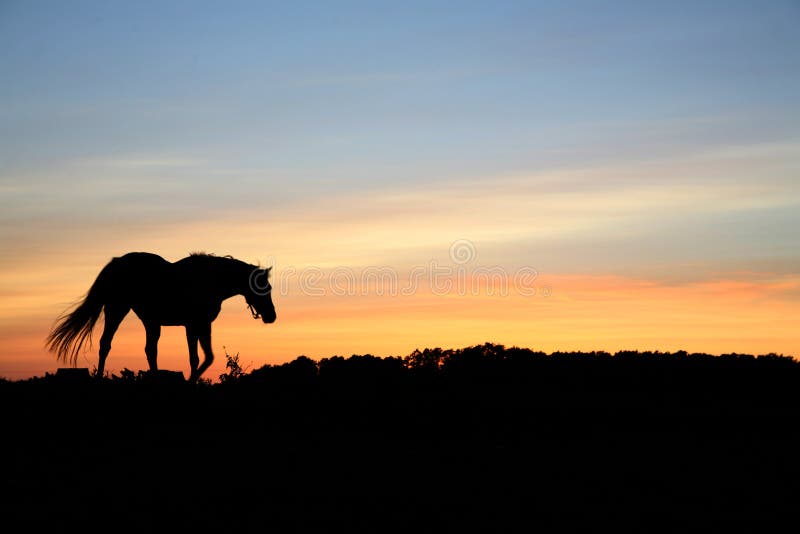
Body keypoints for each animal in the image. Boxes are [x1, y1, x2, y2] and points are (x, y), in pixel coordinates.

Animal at [46, 252, 276, 382]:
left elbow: (202, 357)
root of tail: (116, 262)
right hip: (117, 309)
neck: (211, 280)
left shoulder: (198, 325)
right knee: (106, 344)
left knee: (148, 350)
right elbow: (200, 358)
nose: (271, 316)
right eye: (262, 288)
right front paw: (191, 380)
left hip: (149, 321)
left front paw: (192, 379)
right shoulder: (195, 324)